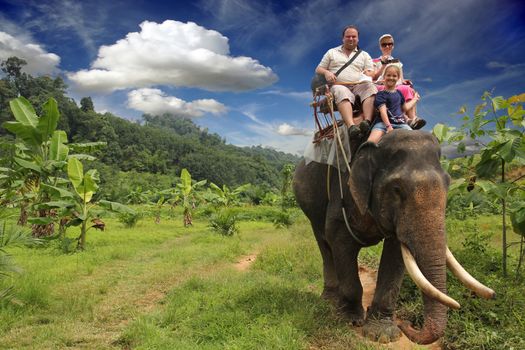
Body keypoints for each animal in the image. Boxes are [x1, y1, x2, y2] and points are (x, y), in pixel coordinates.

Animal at [292, 129, 494, 344]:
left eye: (448, 184)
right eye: (397, 189)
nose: (408, 324)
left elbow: (396, 254)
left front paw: (383, 334)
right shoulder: (342, 194)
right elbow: (339, 241)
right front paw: (350, 320)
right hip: (311, 209)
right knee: (324, 244)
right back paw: (329, 303)